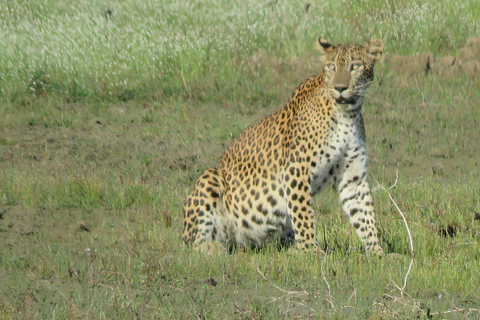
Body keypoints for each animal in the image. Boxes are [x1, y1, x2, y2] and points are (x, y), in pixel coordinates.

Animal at [182, 37, 384, 255]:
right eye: (331, 66)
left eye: (354, 66)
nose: (340, 87)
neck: (348, 115)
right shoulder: (296, 171)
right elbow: (304, 216)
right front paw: (312, 252)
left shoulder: (353, 177)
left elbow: (365, 215)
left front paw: (378, 253)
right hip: (211, 177)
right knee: (194, 242)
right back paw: (212, 247)